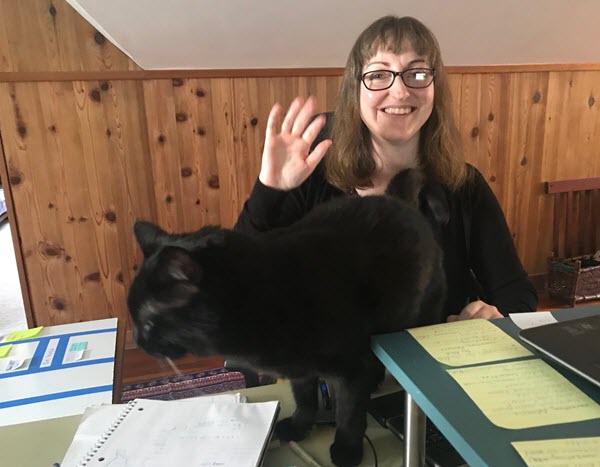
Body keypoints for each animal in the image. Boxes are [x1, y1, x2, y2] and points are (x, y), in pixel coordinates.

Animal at [127, 170, 446, 466]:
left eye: (148, 322)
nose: (138, 341)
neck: (265, 298)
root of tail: (394, 198)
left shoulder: (352, 369)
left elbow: (349, 412)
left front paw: (347, 449)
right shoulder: (300, 371)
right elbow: (304, 398)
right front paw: (299, 426)